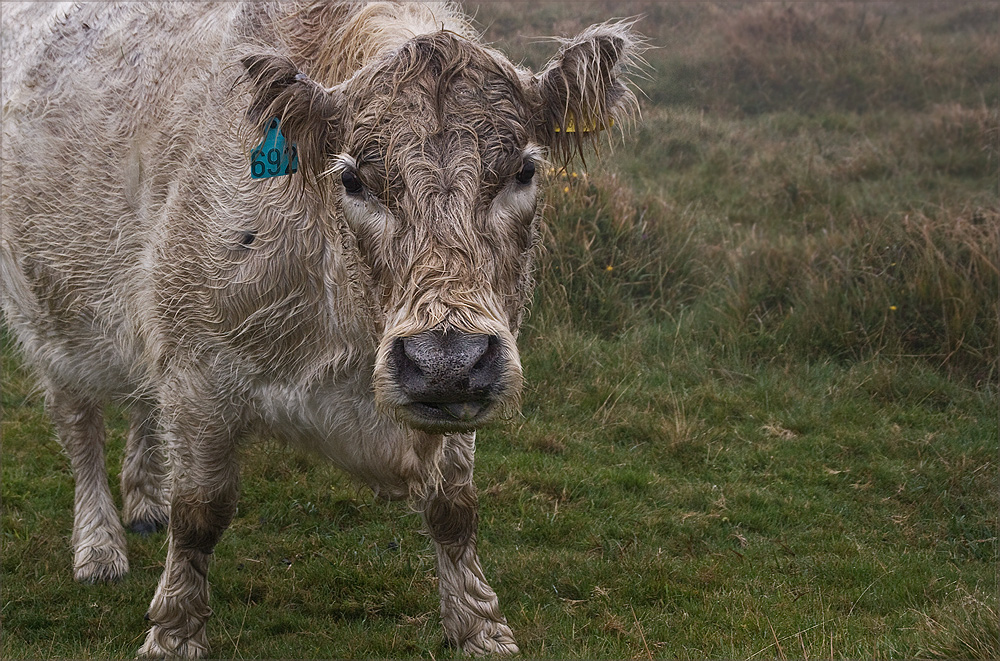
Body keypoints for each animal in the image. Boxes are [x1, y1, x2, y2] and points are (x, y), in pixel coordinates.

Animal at [0, 0, 640, 656]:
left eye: (524, 170)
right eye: (353, 179)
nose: (443, 361)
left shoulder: (468, 376)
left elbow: (455, 508)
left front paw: (480, 630)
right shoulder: (197, 370)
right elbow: (200, 513)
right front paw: (174, 634)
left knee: (140, 407)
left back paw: (145, 503)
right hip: (50, 319)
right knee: (80, 429)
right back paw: (99, 546)